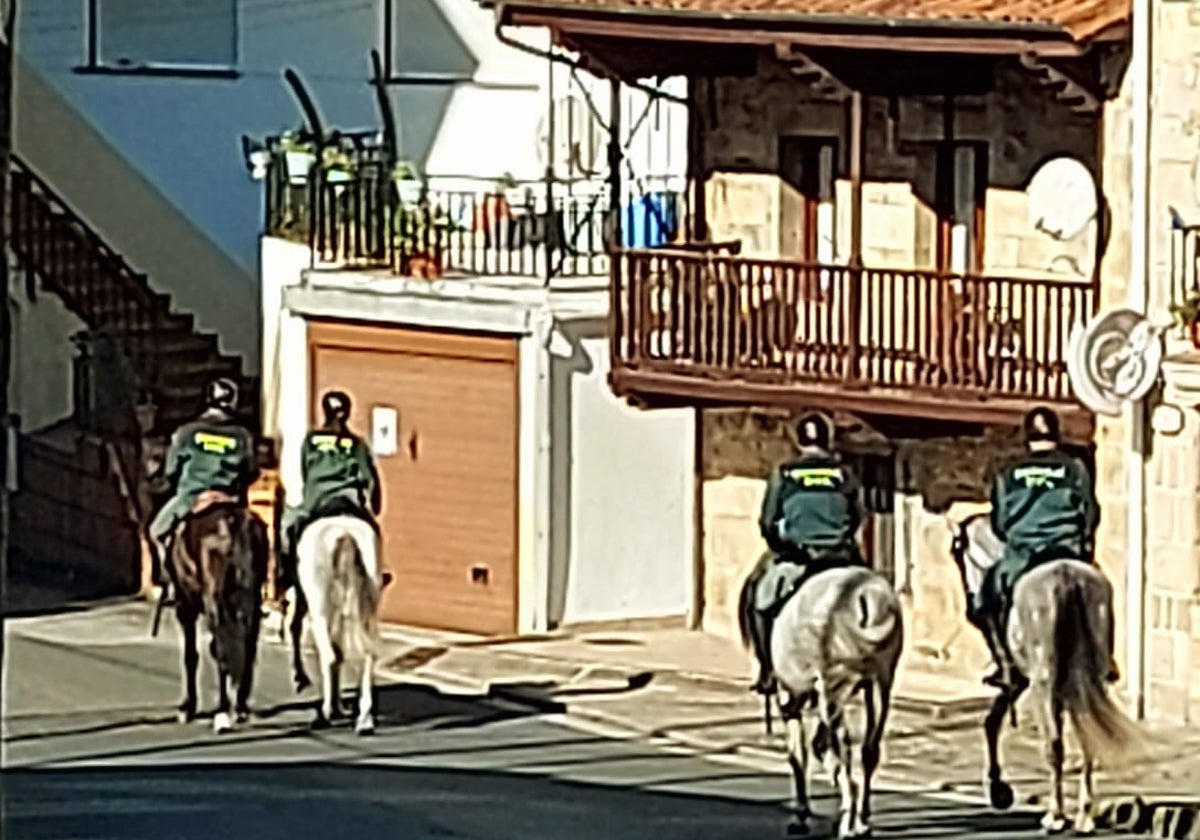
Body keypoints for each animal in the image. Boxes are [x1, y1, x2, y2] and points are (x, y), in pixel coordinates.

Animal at [169, 489, 270, 729]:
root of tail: (233, 523)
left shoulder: (185, 607)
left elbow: (191, 655)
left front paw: (187, 707)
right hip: (253, 601)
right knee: (248, 649)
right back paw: (240, 707)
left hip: (213, 604)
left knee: (221, 652)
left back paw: (222, 711)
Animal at [291, 511, 381, 734]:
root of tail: (344, 534)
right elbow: (340, 653)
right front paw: (339, 706)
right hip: (367, 607)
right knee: (368, 655)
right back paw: (364, 719)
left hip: (319, 611)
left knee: (328, 655)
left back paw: (324, 715)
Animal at [739, 564, 902, 840]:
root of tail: (864, 596)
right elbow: (819, 747)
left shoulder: (791, 697)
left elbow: (799, 756)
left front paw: (801, 815)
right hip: (880, 684)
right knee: (868, 750)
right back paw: (861, 819)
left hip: (833, 690)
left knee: (844, 750)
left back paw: (848, 822)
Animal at [950, 511, 1137, 835]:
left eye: (958, 556)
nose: (971, 610)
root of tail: (1065, 577)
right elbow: (994, 720)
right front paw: (998, 787)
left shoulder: (1018, 678)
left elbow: (993, 720)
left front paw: (998, 786)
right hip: (1088, 679)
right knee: (1087, 738)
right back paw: (1084, 816)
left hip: (1043, 683)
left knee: (1054, 745)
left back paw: (1056, 815)